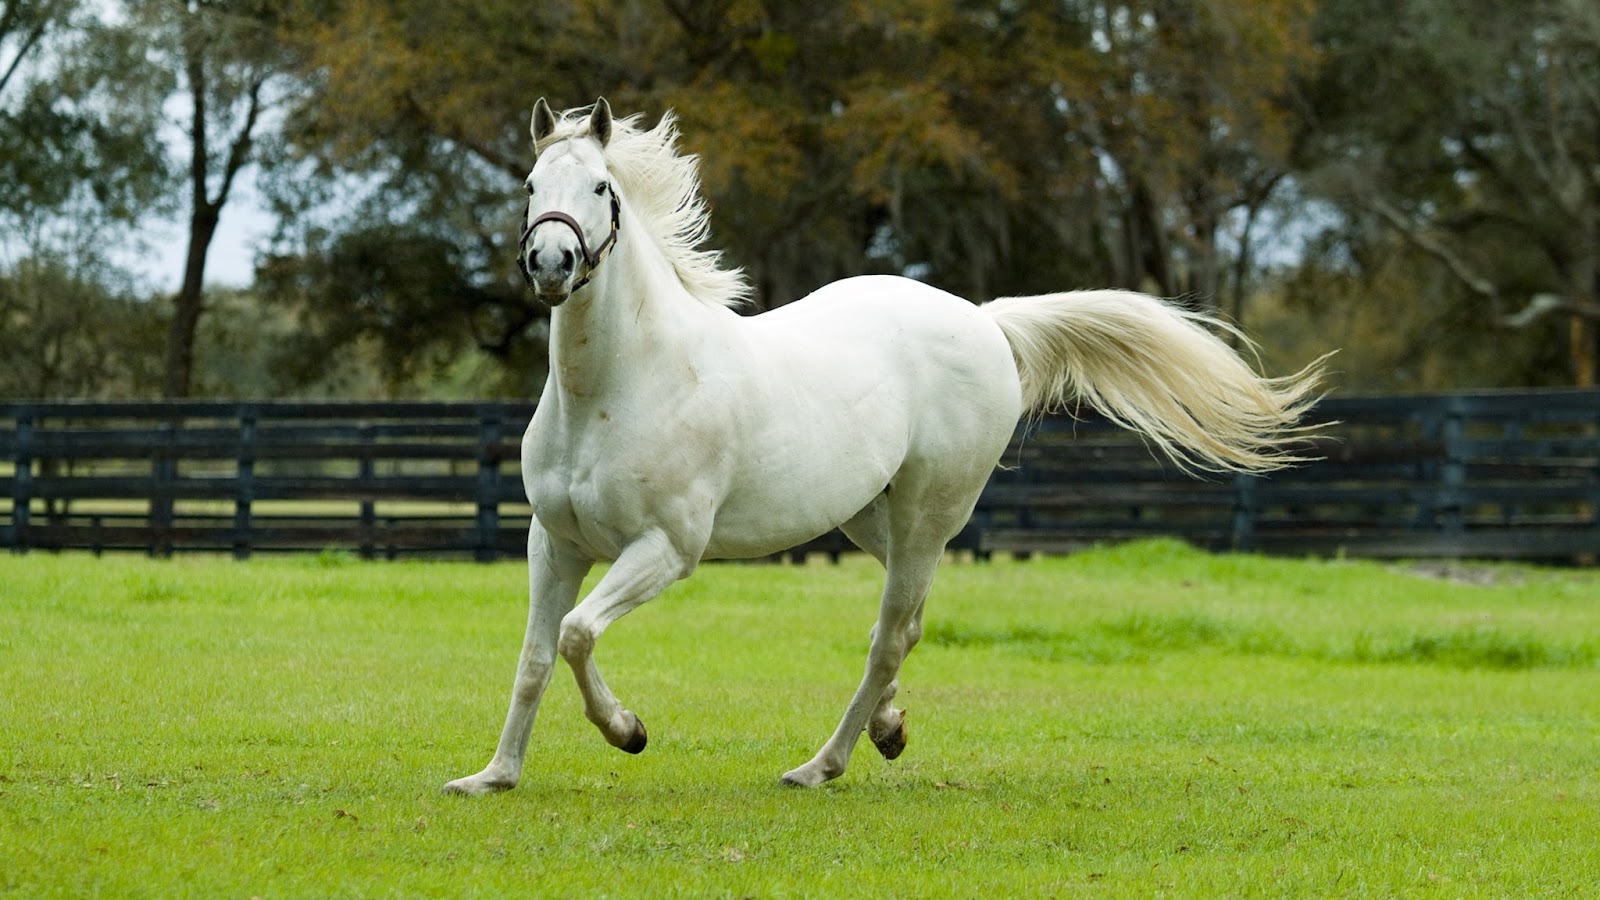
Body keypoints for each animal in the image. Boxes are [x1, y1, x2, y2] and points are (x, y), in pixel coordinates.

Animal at [443, 98, 1325, 794]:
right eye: (531, 187)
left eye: (602, 188)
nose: (550, 262)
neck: (619, 387)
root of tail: (985, 320)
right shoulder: (553, 543)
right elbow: (536, 655)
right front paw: (493, 777)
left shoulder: (666, 548)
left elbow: (576, 634)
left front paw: (628, 731)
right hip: (876, 517)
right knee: (911, 624)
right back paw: (888, 729)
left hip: (930, 516)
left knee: (889, 633)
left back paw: (820, 766)